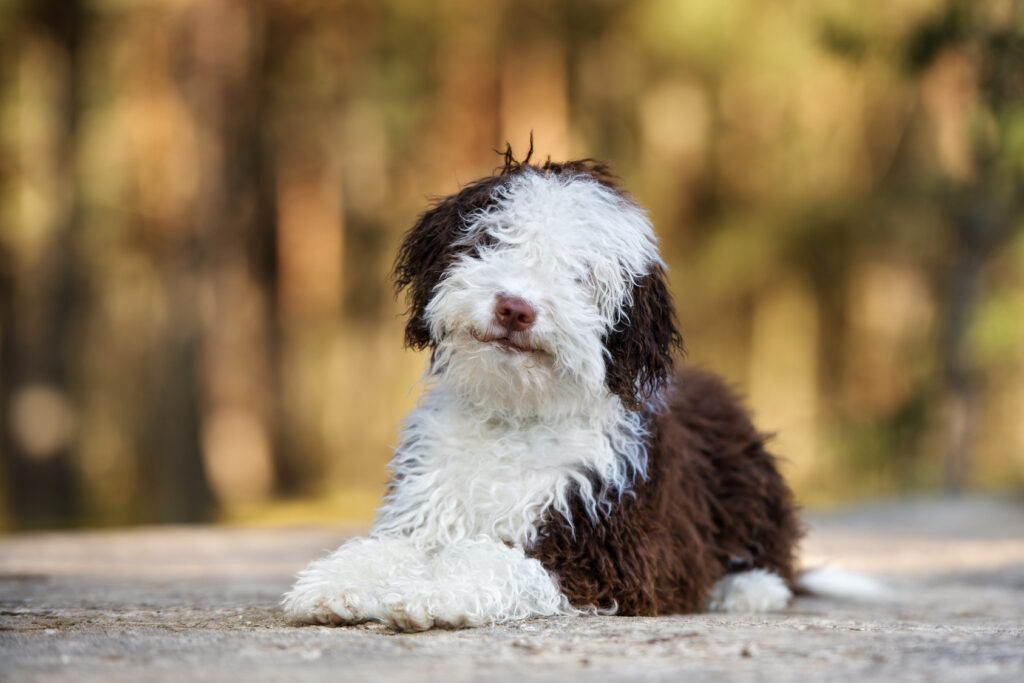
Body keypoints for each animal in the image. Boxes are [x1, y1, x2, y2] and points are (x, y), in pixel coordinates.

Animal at [284, 149, 811, 630]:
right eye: (492, 240)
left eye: (581, 275)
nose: (515, 308)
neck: (516, 414)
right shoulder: (426, 506)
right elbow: (387, 547)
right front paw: (337, 583)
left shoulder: (612, 556)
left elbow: (497, 559)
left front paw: (434, 592)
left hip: (746, 481)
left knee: (774, 559)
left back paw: (747, 589)